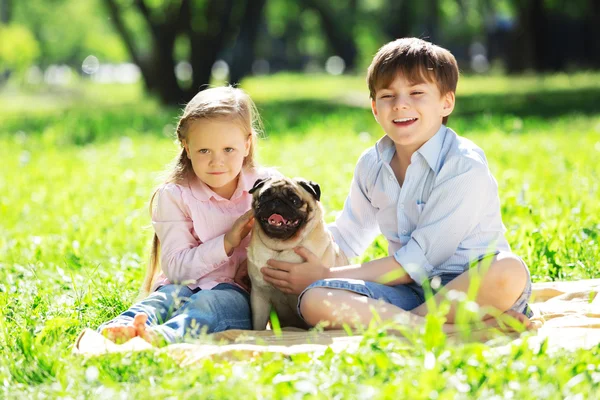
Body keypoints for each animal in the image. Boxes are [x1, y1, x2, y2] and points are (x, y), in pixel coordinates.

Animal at [246, 177, 346, 330]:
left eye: (294, 200)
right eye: (263, 197)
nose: (276, 201)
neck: (281, 248)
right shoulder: (260, 295)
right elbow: (258, 325)